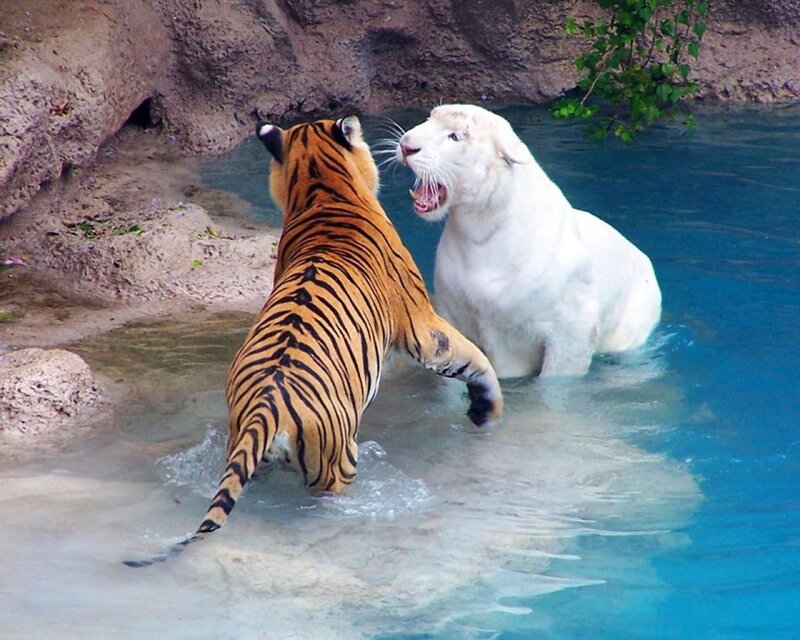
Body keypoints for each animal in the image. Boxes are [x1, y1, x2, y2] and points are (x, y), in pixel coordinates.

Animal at [124, 115, 503, 567]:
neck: (322, 189)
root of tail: (264, 410)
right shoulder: (421, 326)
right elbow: (473, 359)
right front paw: (486, 410)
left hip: (245, 446)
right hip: (338, 461)